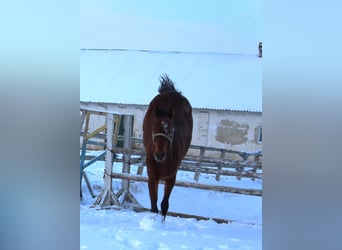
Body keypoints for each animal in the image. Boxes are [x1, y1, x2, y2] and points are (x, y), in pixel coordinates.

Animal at [142, 74, 192, 219]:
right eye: (153, 129)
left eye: (170, 130)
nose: (159, 155)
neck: (162, 163)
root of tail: (171, 92)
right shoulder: (152, 178)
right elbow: (154, 206)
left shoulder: (171, 179)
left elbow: (164, 205)